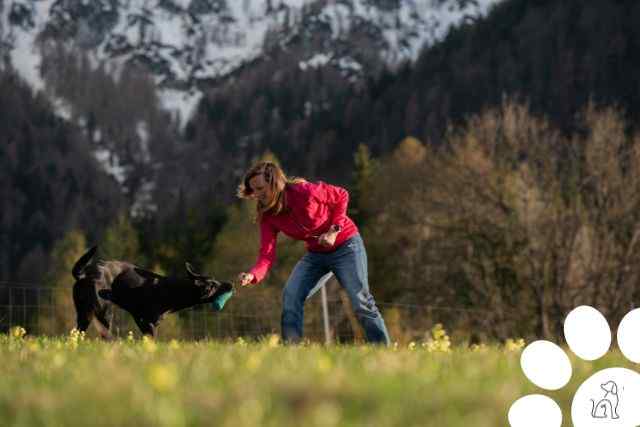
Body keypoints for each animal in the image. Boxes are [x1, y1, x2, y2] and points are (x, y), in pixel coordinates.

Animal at [72, 246, 232, 340]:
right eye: (214, 285)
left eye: (215, 280)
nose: (230, 284)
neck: (173, 290)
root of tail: (84, 275)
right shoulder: (148, 322)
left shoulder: (142, 321)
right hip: (104, 313)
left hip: (83, 314)